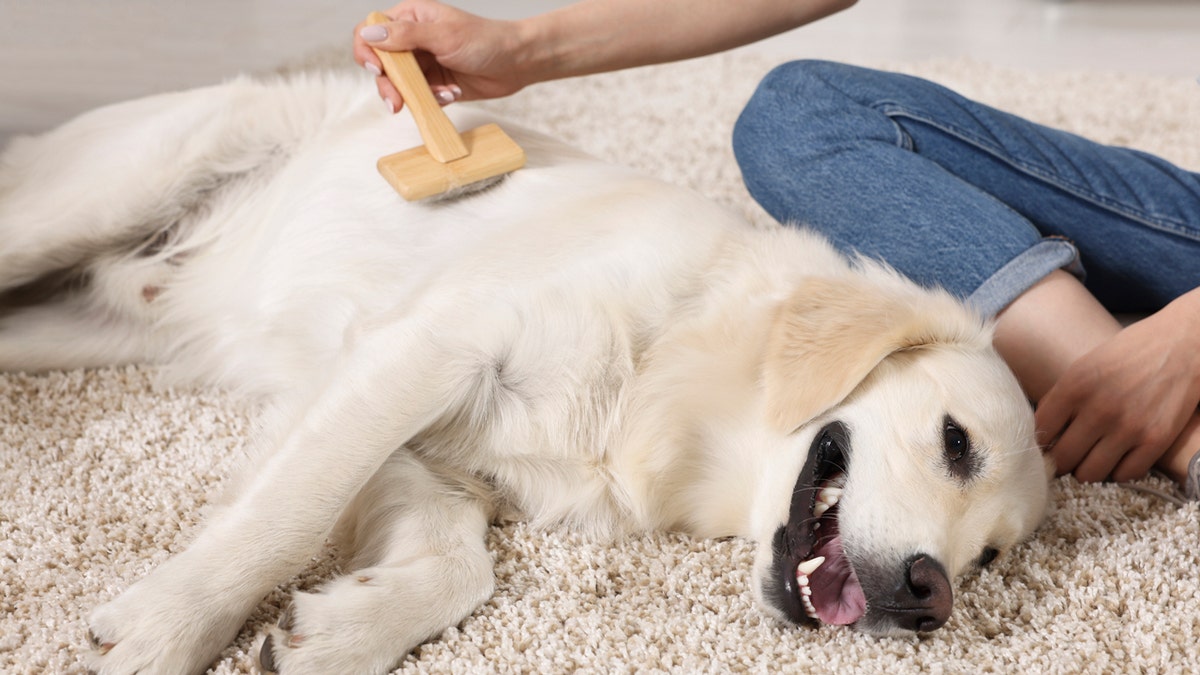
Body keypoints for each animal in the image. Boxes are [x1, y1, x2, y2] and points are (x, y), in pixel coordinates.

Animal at [0, 70, 1051, 667]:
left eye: (991, 558)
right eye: (954, 442)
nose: (929, 596)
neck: (674, 362)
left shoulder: (411, 425)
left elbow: (457, 563)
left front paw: (332, 634)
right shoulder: (428, 345)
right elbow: (287, 513)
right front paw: (172, 626)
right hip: (102, 195)